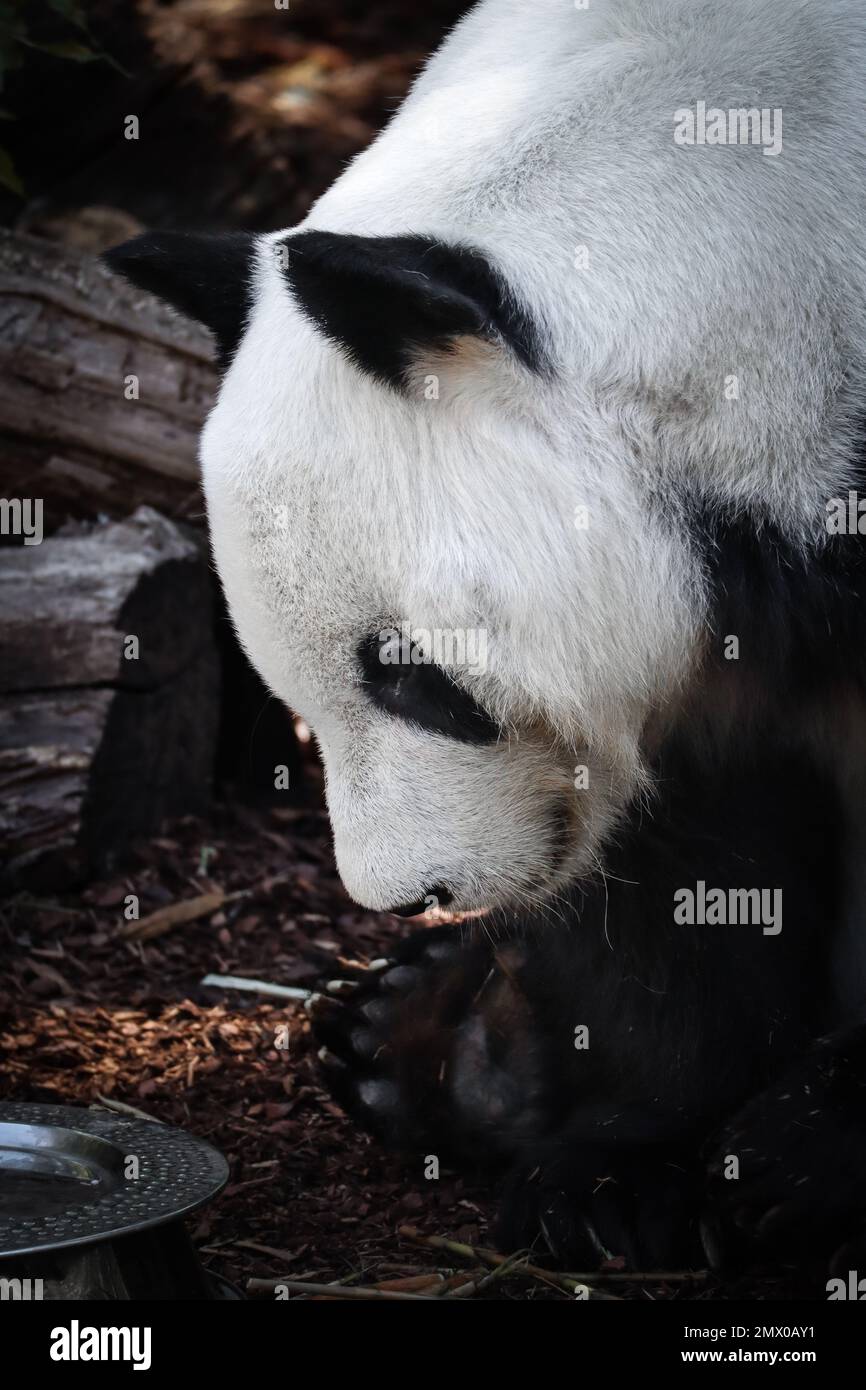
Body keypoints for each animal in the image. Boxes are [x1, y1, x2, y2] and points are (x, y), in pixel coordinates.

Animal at [107, 0, 866, 1273]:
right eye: (297, 706)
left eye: (413, 678)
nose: (410, 892)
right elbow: (691, 866)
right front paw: (607, 1171)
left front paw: (788, 1160)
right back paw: (414, 1043)